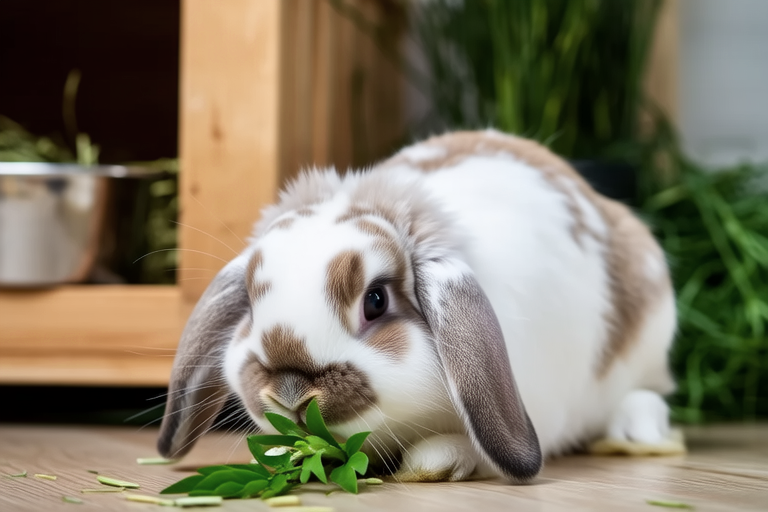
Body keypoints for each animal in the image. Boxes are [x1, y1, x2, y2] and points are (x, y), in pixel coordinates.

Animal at [156, 129, 677, 483]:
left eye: (375, 300)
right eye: (251, 303)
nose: (288, 392)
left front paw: (435, 461)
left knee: (645, 394)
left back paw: (637, 432)